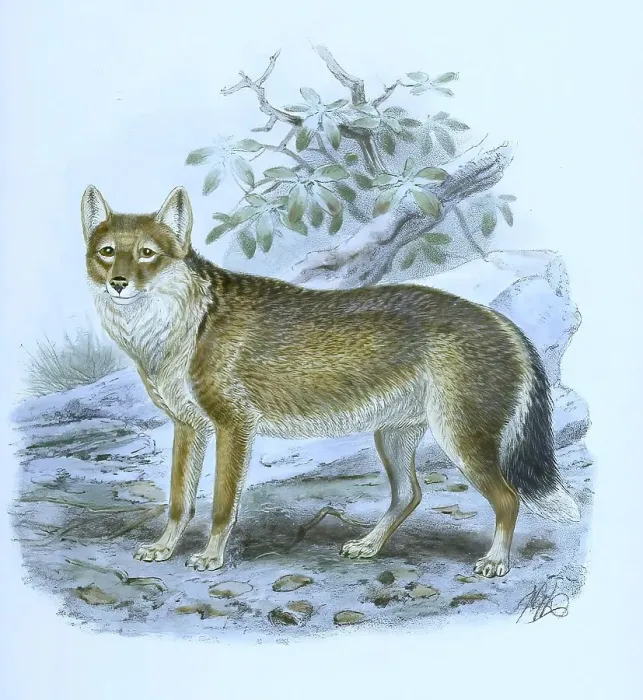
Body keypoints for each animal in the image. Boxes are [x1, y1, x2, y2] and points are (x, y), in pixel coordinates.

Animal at [81, 184, 580, 577]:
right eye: (108, 253)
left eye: (148, 254)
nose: (120, 283)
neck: (186, 327)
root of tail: (503, 322)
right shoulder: (188, 428)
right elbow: (179, 502)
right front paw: (164, 548)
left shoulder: (233, 427)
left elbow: (222, 506)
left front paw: (211, 557)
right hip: (393, 438)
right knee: (410, 495)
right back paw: (369, 546)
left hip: (460, 441)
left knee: (508, 498)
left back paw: (496, 561)